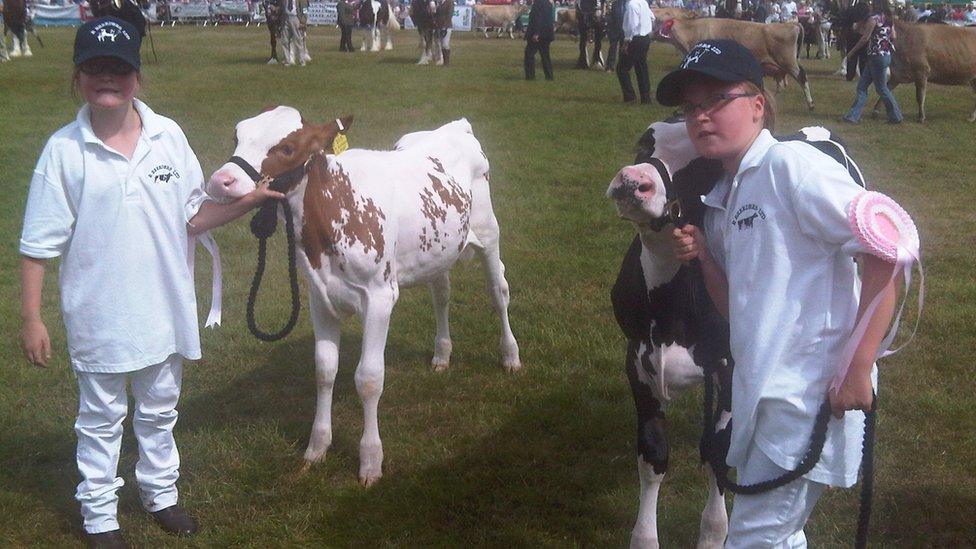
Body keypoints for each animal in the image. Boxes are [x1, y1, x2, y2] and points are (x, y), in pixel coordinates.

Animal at [207, 107, 524, 484]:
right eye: (237, 136)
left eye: (286, 147)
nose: (221, 180)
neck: (329, 217)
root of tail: (454, 126)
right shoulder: (319, 298)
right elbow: (324, 370)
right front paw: (316, 447)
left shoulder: (379, 297)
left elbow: (369, 378)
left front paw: (371, 461)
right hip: (436, 249)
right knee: (441, 294)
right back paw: (442, 355)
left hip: (489, 232)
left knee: (498, 291)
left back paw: (510, 356)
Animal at [608, 117, 864, 544]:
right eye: (646, 141)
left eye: (703, 162)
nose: (632, 181)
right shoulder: (637, 358)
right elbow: (653, 450)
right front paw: (644, 538)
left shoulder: (731, 368)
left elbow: (719, 449)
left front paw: (714, 534)